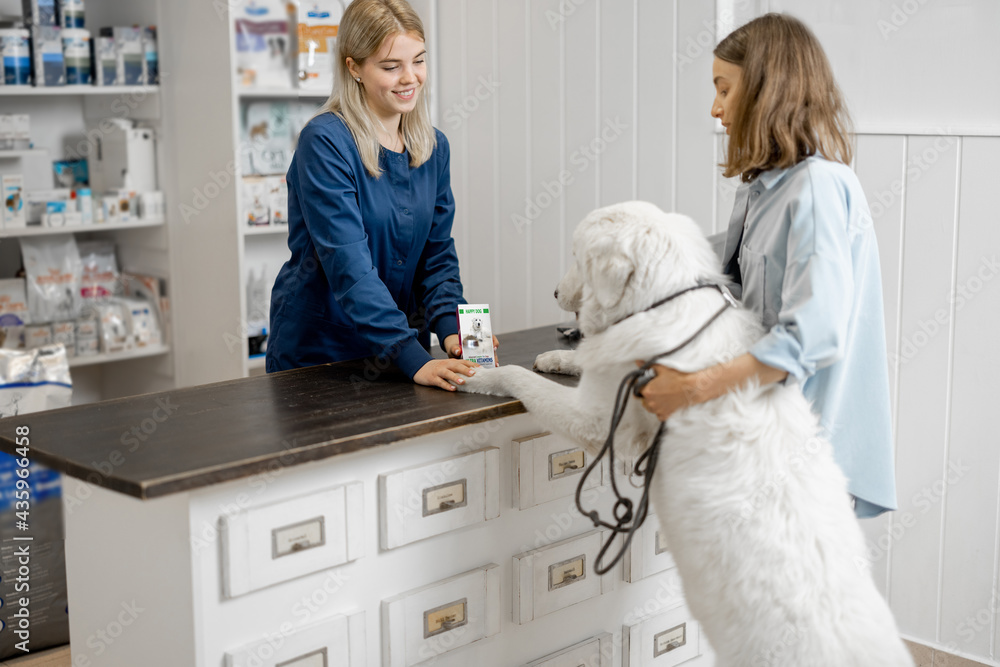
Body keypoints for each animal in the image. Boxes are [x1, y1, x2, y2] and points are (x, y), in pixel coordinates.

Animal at [460, 201, 916, 664]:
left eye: (575, 256)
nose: (554, 293)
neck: (660, 302)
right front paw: (554, 356)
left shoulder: (599, 419)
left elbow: (520, 379)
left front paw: (482, 374)